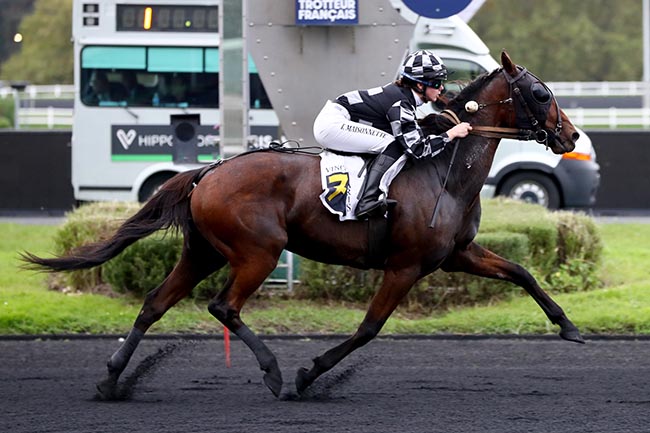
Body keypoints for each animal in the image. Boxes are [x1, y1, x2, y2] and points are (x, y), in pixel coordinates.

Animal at [24, 52, 584, 400]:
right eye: (540, 93)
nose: (572, 135)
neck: (443, 170)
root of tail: (209, 171)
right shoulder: (405, 266)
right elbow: (368, 328)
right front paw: (309, 372)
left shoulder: (455, 255)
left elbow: (522, 273)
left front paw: (570, 327)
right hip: (258, 252)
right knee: (223, 306)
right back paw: (274, 374)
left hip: (203, 252)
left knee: (153, 304)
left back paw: (112, 381)